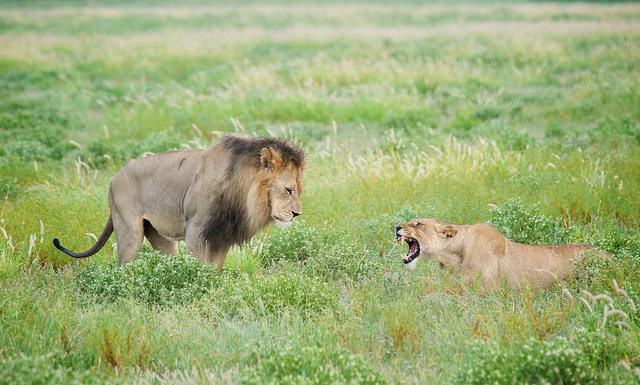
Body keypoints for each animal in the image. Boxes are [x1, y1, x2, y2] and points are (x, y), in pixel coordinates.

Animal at [53, 134, 304, 270]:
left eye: (299, 190)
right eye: (288, 190)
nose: (297, 214)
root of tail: (115, 177)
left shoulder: (220, 235)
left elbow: (215, 269)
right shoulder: (195, 229)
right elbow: (200, 266)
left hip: (161, 238)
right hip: (129, 231)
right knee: (124, 265)